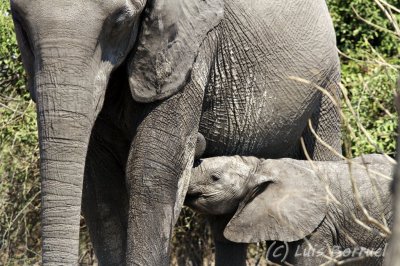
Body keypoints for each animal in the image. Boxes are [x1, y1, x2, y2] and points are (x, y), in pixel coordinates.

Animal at [10, 0, 340, 264]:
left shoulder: (191, 44)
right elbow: (101, 186)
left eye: (119, 21)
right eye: (18, 21)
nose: (200, 142)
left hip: (327, 84)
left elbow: (152, 170)